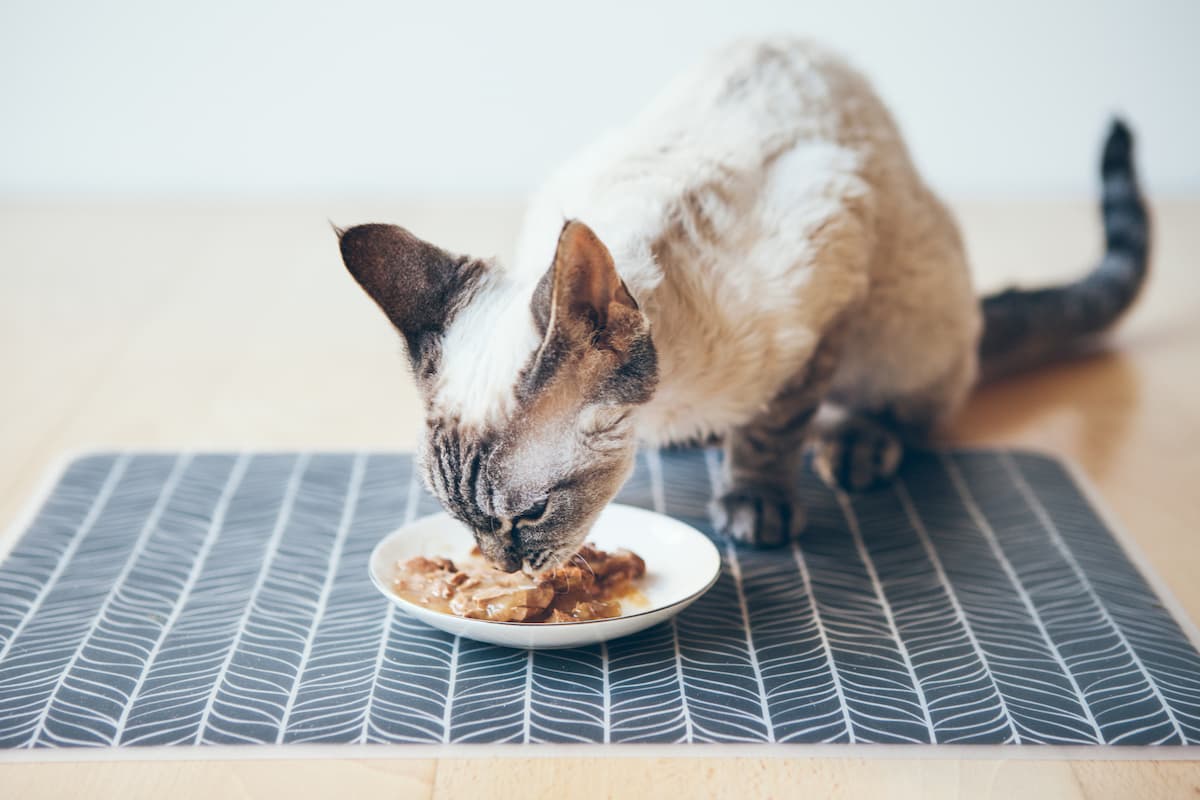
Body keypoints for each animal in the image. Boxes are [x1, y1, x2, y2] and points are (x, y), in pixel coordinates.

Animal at [333, 35, 1147, 568]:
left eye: (530, 514)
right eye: (458, 518)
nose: (502, 568)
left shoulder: (826, 288)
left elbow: (774, 428)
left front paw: (755, 502)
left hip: (905, 325)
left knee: (910, 410)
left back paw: (856, 444)